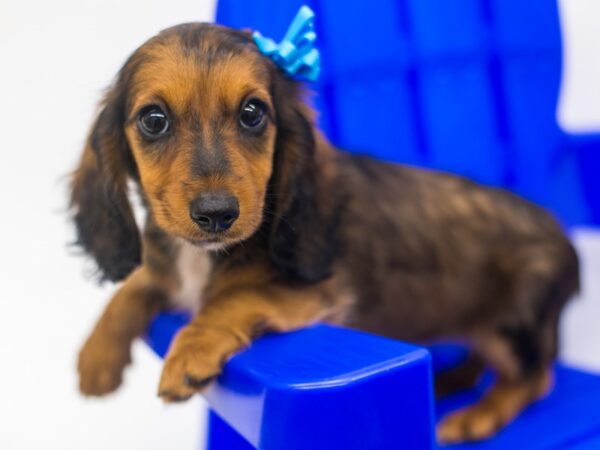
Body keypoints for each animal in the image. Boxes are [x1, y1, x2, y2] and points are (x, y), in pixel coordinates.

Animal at [69, 22, 576, 442]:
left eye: (252, 112)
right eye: (153, 120)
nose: (217, 214)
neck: (206, 254)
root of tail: (563, 236)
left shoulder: (323, 292)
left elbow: (235, 298)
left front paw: (190, 350)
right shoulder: (166, 271)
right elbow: (134, 286)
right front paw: (96, 356)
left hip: (514, 325)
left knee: (537, 378)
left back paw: (477, 415)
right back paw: (449, 382)